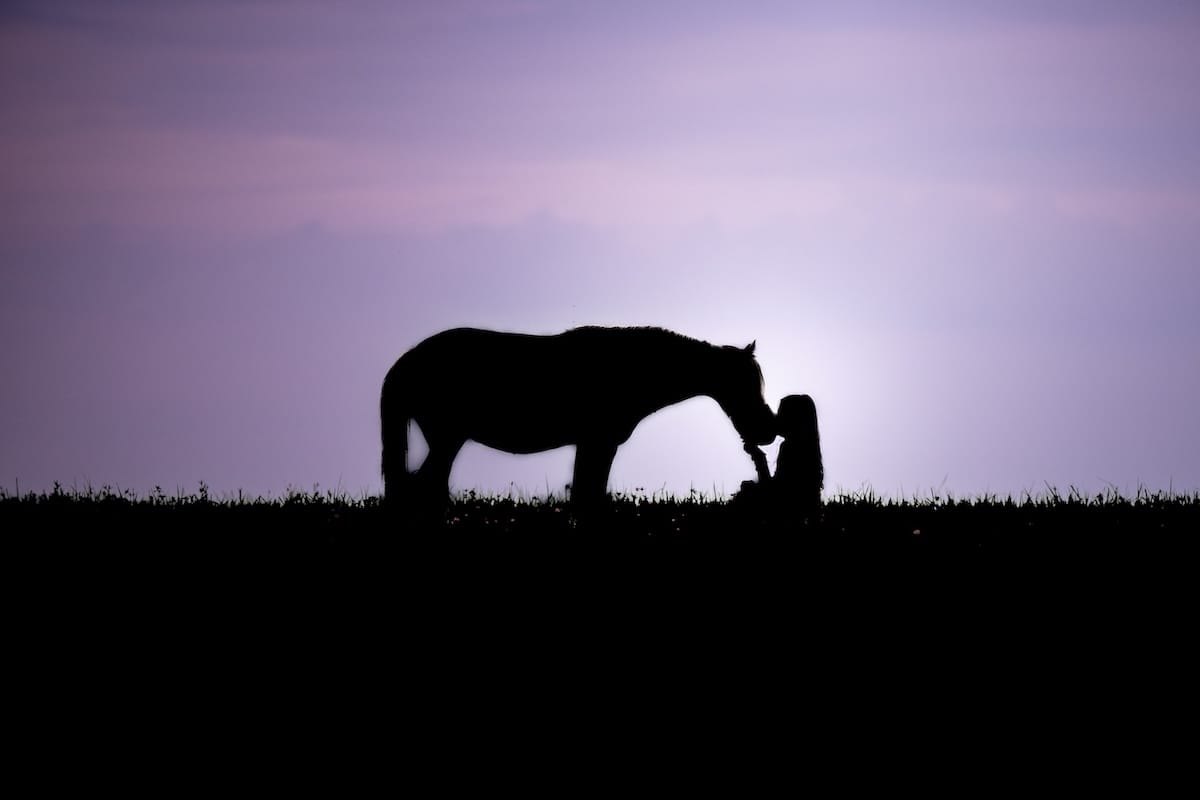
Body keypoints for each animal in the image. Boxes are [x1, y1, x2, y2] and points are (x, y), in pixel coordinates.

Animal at [380, 326, 777, 511]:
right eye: (742, 385)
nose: (767, 431)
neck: (632, 369)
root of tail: (406, 363)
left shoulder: (594, 444)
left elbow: (587, 490)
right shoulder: (598, 442)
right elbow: (589, 491)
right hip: (447, 437)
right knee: (423, 485)